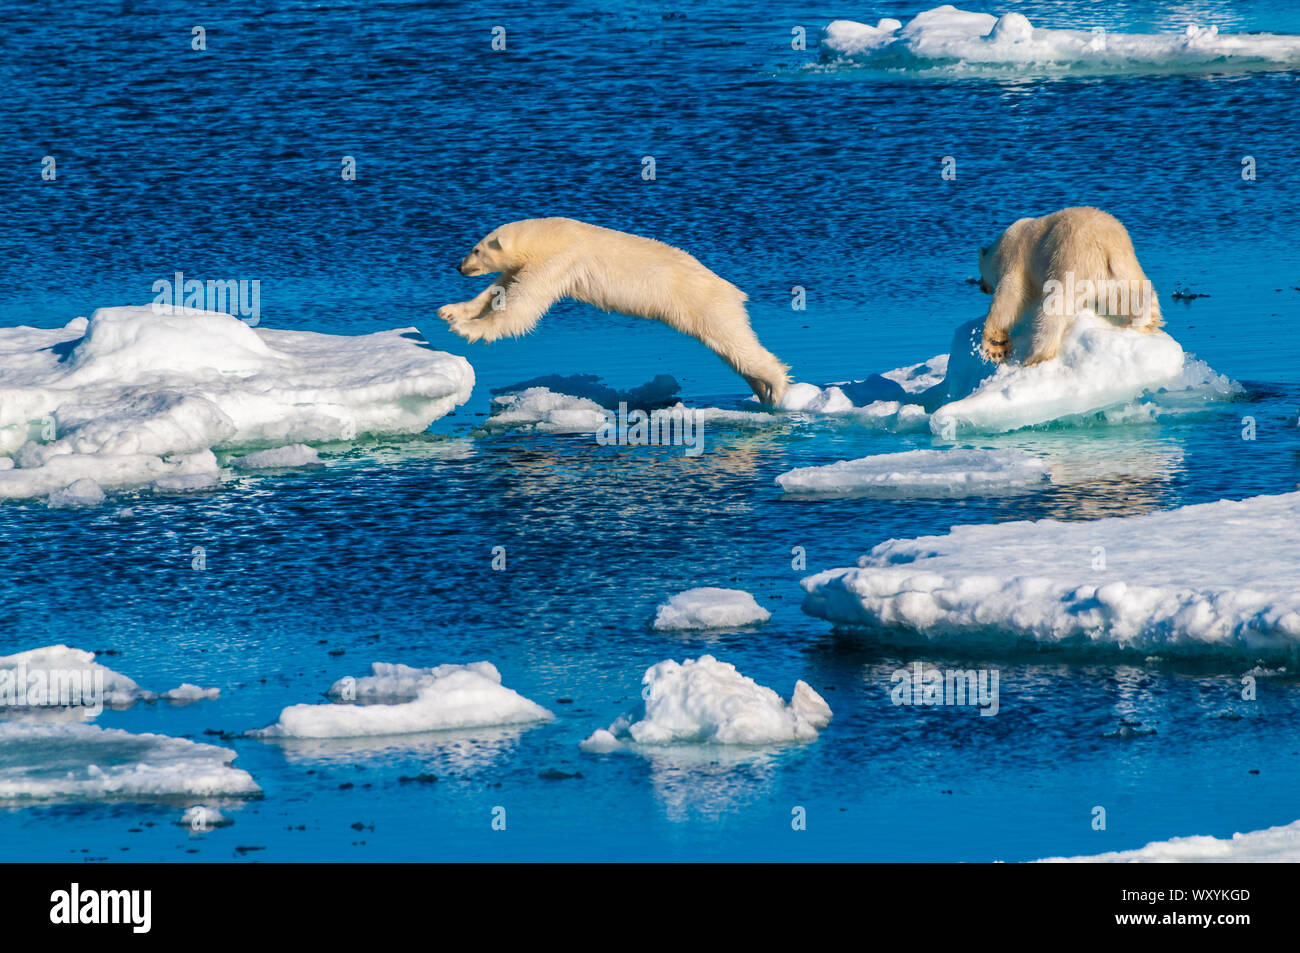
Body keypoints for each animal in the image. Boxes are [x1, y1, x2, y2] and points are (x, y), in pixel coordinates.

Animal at [437, 218, 791, 405]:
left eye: (476, 249)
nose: (458, 266)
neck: (553, 234)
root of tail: (733, 291)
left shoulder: (560, 260)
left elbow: (522, 305)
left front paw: (469, 329)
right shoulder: (527, 265)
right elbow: (497, 289)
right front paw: (452, 311)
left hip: (704, 304)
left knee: (737, 343)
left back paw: (776, 388)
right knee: (731, 353)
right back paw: (760, 390)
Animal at [977, 206, 1163, 365]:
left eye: (981, 274)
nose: (981, 287)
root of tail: (1107, 246)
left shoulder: (1015, 261)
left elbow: (1010, 297)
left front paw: (995, 348)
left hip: (1070, 258)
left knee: (1055, 304)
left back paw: (1037, 355)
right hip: (1122, 270)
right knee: (1135, 294)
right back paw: (1147, 322)